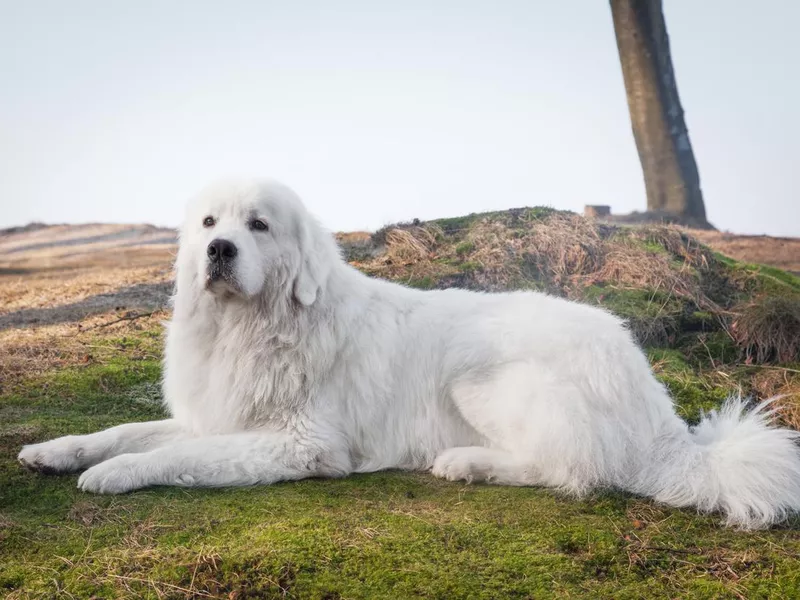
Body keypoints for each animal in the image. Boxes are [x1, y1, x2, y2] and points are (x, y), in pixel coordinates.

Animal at [17, 180, 800, 528]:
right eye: (209, 223)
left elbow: (177, 455)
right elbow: (125, 430)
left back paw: (467, 464)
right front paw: (57, 452)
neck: (254, 327)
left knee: (576, 471)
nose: (219, 250)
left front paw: (115, 475)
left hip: (479, 383)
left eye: (258, 225)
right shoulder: (217, 415)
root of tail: (659, 407)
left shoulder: (301, 444)